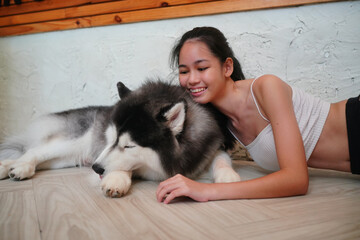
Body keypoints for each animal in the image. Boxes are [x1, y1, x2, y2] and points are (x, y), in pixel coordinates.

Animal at [1, 80, 242, 197]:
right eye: (111, 139)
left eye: (129, 145)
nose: (96, 168)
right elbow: (121, 167)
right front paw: (116, 179)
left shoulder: (206, 149)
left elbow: (222, 159)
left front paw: (228, 177)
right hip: (74, 142)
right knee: (35, 150)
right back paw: (21, 168)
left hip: (67, 159)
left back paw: (6, 167)